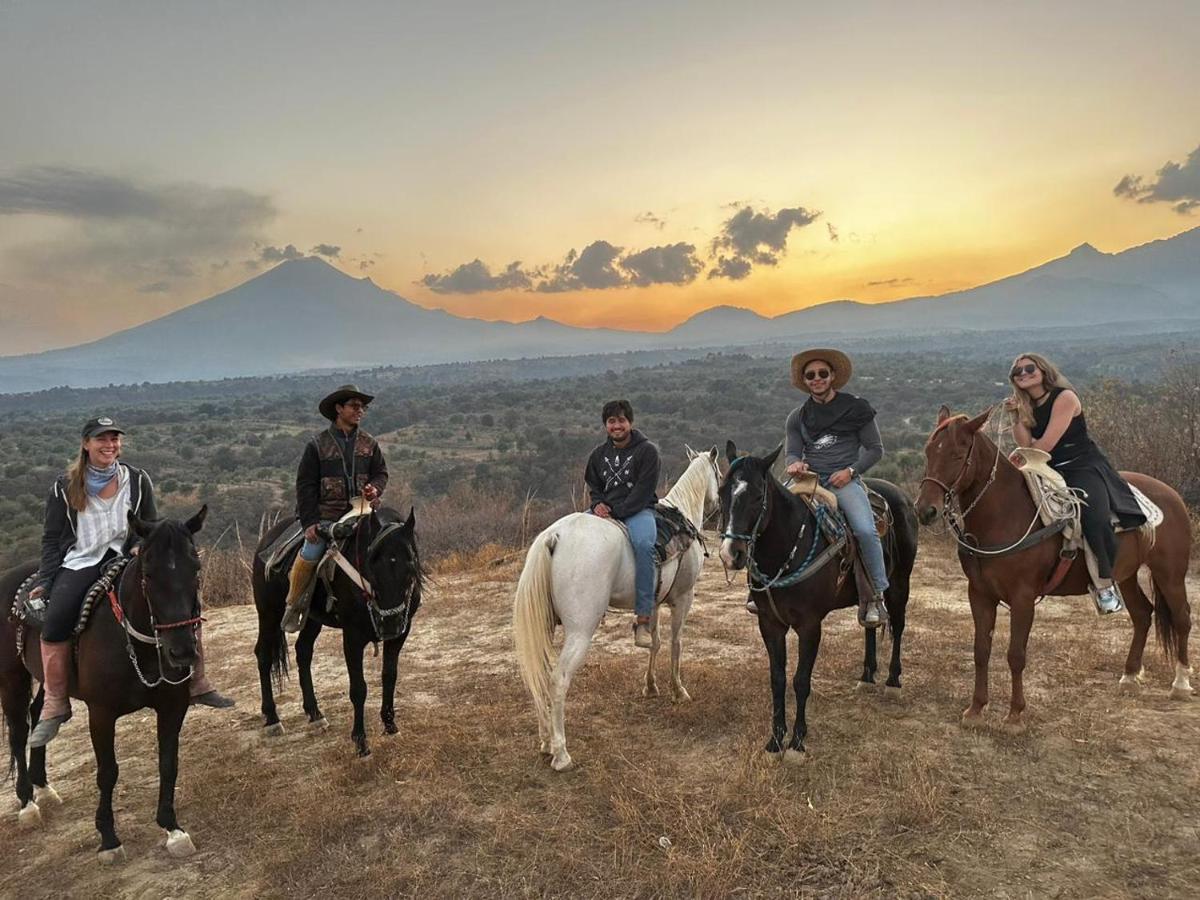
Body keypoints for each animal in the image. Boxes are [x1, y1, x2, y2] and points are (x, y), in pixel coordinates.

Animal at [1, 511, 208, 864]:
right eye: (148, 574)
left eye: (195, 568)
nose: (181, 651)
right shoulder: (101, 714)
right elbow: (108, 772)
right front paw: (109, 839)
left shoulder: (172, 707)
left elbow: (169, 763)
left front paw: (173, 829)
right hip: (11, 676)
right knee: (17, 731)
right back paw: (27, 803)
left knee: (40, 714)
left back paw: (44, 788)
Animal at [250, 511, 424, 758]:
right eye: (372, 566)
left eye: (410, 567)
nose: (389, 623)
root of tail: (266, 540)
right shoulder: (352, 638)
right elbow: (359, 689)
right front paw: (360, 742)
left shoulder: (400, 634)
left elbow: (389, 676)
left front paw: (390, 725)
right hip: (268, 614)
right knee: (264, 655)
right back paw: (272, 719)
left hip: (312, 619)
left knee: (303, 652)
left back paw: (315, 714)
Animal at [511, 444, 715, 768]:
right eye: (719, 472)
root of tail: (554, 536)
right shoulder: (683, 598)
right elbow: (676, 644)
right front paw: (678, 690)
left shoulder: (653, 601)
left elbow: (655, 642)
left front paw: (650, 686)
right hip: (580, 632)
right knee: (558, 681)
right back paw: (561, 752)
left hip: (545, 626)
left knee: (540, 678)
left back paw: (544, 742)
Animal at [720, 441, 916, 763]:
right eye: (723, 491)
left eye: (759, 496)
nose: (731, 553)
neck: (788, 547)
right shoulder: (769, 623)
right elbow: (777, 679)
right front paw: (775, 740)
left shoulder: (810, 626)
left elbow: (801, 680)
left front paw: (797, 741)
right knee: (870, 624)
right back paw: (867, 675)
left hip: (900, 582)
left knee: (897, 626)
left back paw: (892, 681)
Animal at [916, 408, 1190, 734]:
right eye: (928, 452)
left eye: (958, 455)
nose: (925, 510)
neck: (1006, 513)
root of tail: (1172, 496)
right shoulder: (979, 594)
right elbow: (981, 650)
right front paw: (975, 709)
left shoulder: (1022, 598)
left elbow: (1016, 655)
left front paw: (1015, 715)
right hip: (1126, 574)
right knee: (1142, 614)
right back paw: (1130, 677)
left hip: (1170, 574)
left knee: (1182, 618)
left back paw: (1181, 683)